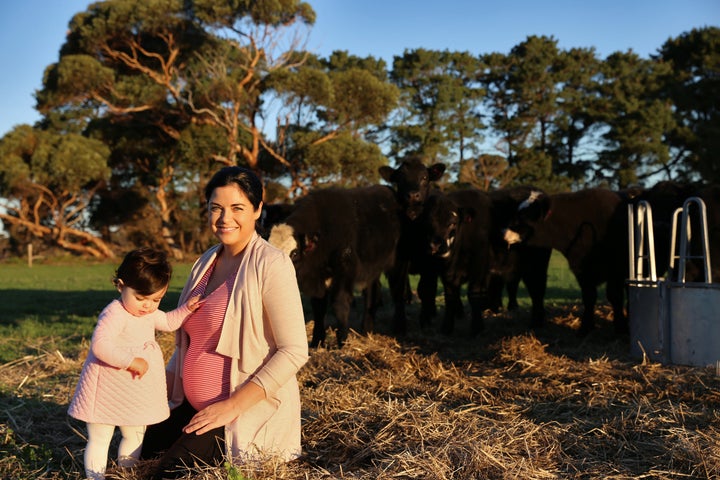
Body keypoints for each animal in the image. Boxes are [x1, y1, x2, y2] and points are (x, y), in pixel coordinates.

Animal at [268, 185, 404, 348]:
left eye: (294, 253)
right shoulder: (319, 281)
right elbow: (319, 308)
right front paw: (316, 341)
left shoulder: (345, 272)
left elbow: (340, 303)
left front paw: (341, 342)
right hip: (372, 270)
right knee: (372, 293)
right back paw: (366, 330)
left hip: (397, 266)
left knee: (397, 292)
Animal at [500, 186, 632, 336]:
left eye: (522, 218)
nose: (502, 233)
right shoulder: (581, 270)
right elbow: (589, 297)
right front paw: (585, 328)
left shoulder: (616, 270)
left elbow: (615, 297)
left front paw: (621, 329)